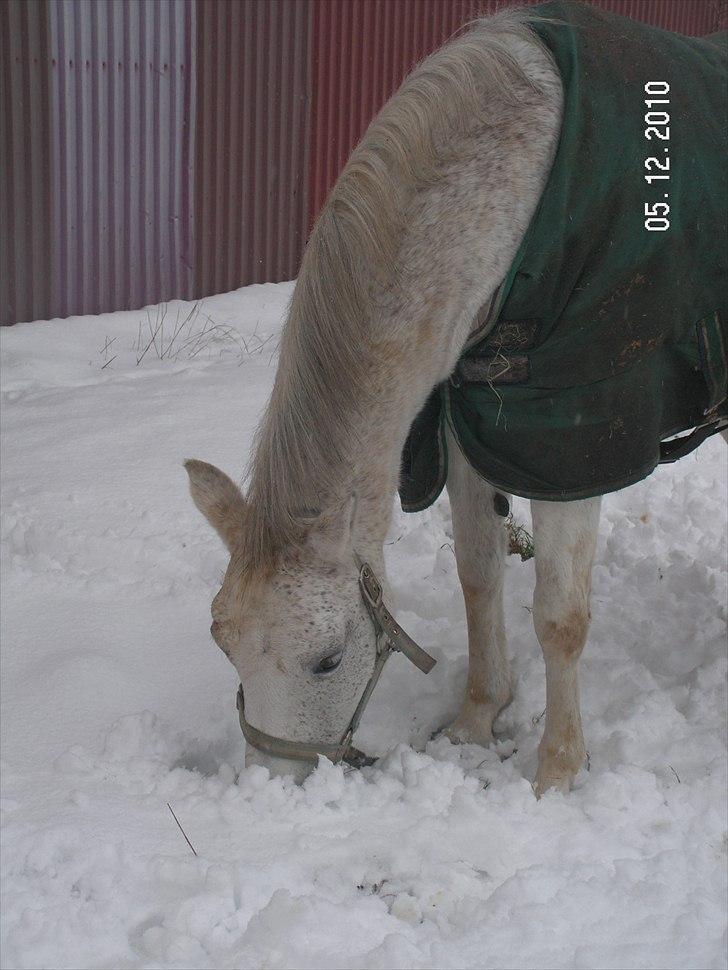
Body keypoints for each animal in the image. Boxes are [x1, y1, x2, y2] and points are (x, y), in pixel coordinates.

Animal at [185, 3, 724, 796]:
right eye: (222, 641)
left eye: (327, 661)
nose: (271, 786)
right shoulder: (472, 425)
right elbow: (479, 575)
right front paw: (477, 720)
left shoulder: (571, 441)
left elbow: (560, 618)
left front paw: (556, 773)